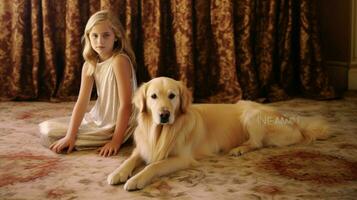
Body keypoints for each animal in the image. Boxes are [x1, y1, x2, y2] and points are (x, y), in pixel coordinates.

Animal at [106, 76, 328, 191]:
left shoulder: (182, 158)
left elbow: (153, 166)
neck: (160, 132)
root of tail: (293, 122)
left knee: (256, 143)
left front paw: (136, 180)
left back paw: (239, 149)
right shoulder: (142, 149)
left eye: (172, 96)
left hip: (251, 115)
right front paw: (117, 173)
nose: (164, 115)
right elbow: (129, 160)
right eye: (153, 96)